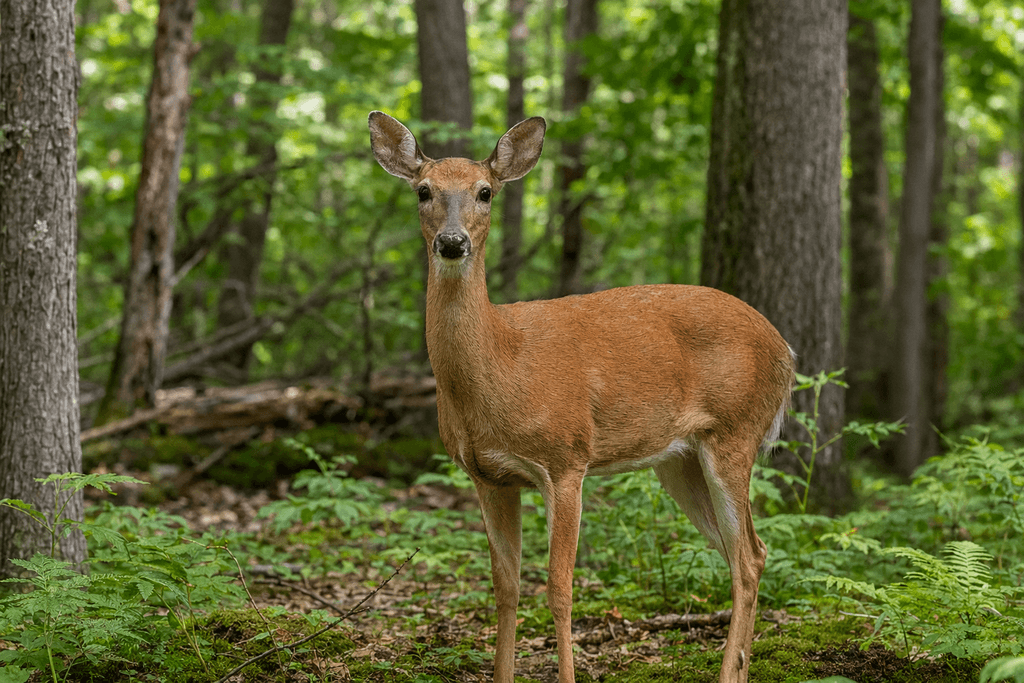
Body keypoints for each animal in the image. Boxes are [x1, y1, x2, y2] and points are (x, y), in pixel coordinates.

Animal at [368, 110, 795, 683]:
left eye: (485, 192)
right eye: (423, 190)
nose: (452, 242)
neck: (502, 365)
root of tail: (785, 349)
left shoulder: (566, 459)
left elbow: (559, 588)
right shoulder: (488, 476)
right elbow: (505, 587)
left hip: (736, 430)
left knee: (747, 556)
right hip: (680, 460)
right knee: (749, 552)